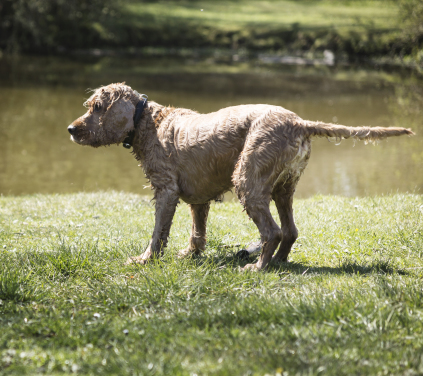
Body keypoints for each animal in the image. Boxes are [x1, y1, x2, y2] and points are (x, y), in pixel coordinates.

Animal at [68, 82, 416, 270]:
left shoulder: (165, 190)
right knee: (289, 230)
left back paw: (258, 266)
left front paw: (144, 260)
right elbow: (197, 231)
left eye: (97, 107)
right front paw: (191, 254)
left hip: (248, 180)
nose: (71, 129)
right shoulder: (198, 198)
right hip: (282, 187)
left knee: (273, 232)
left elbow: (158, 233)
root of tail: (300, 123)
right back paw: (277, 262)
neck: (148, 122)